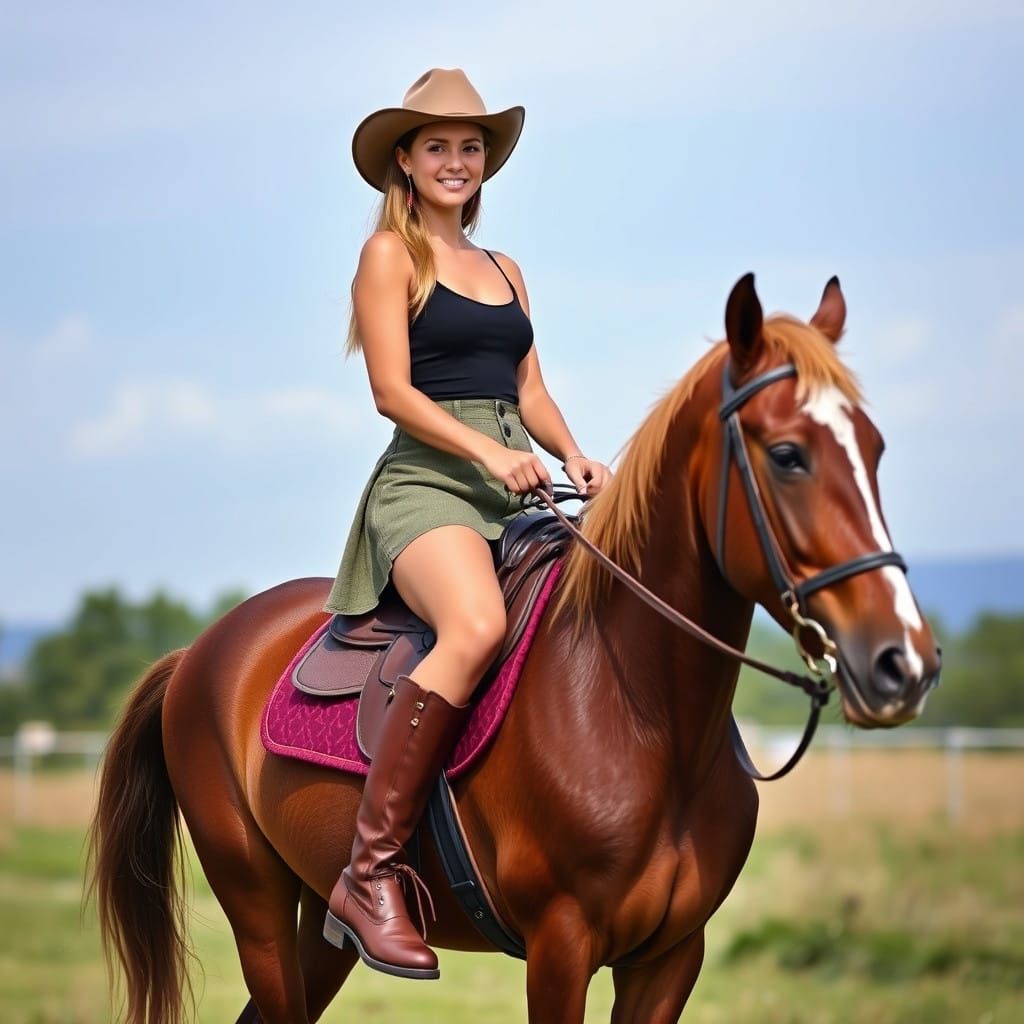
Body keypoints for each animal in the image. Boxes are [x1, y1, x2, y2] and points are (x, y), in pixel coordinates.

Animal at [87, 273, 941, 1023]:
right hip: (256, 905)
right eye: (789, 454)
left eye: (875, 447)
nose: (904, 662)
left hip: (322, 920)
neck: (639, 712)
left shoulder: (670, 958)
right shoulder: (561, 948)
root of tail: (200, 652)